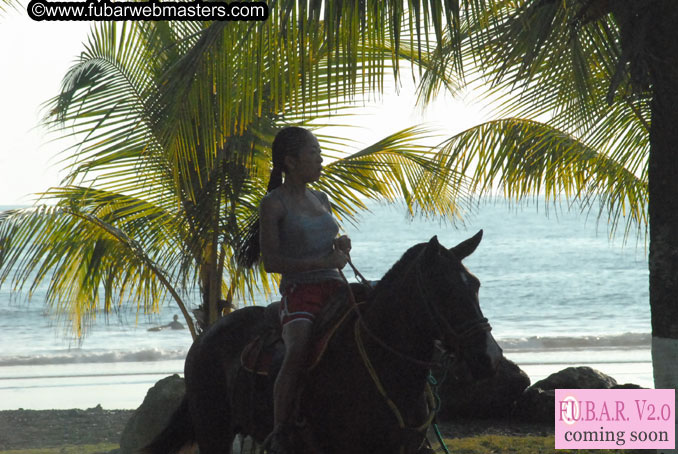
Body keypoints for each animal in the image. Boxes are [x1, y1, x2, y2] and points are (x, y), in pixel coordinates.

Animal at [145, 231, 504, 454]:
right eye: (445, 290)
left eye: (475, 285)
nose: (489, 358)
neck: (382, 364)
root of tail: (205, 336)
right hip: (213, 431)